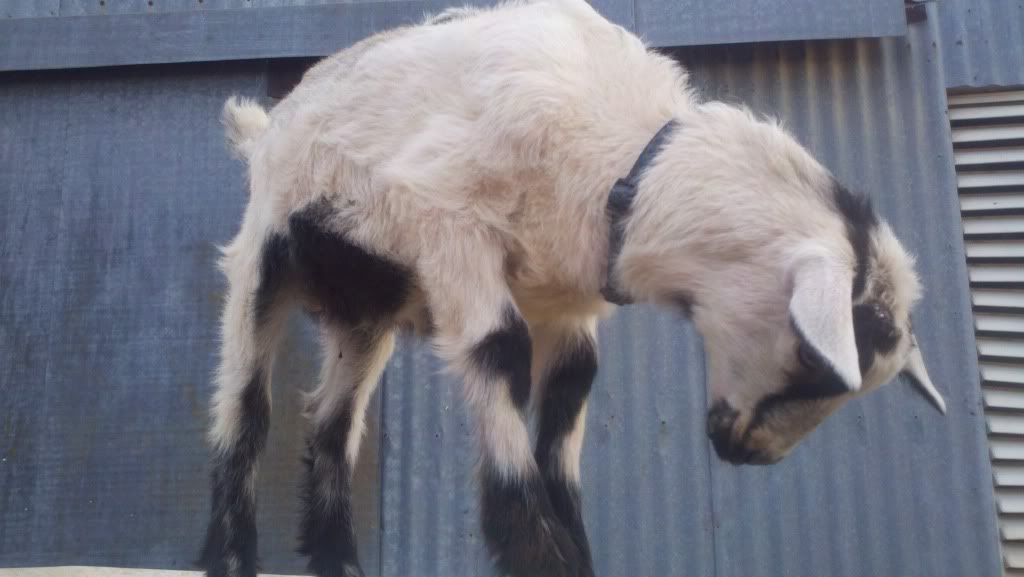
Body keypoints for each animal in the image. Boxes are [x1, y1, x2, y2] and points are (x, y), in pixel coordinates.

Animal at [198, 2, 945, 577]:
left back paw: (338, 561)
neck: (625, 163)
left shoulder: (567, 301)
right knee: (247, 406)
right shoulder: (450, 222)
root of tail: (266, 127)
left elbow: (570, 393)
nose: (749, 454)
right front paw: (535, 552)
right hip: (266, 255)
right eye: (811, 362)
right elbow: (500, 351)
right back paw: (231, 556)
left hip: (367, 314)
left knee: (333, 425)